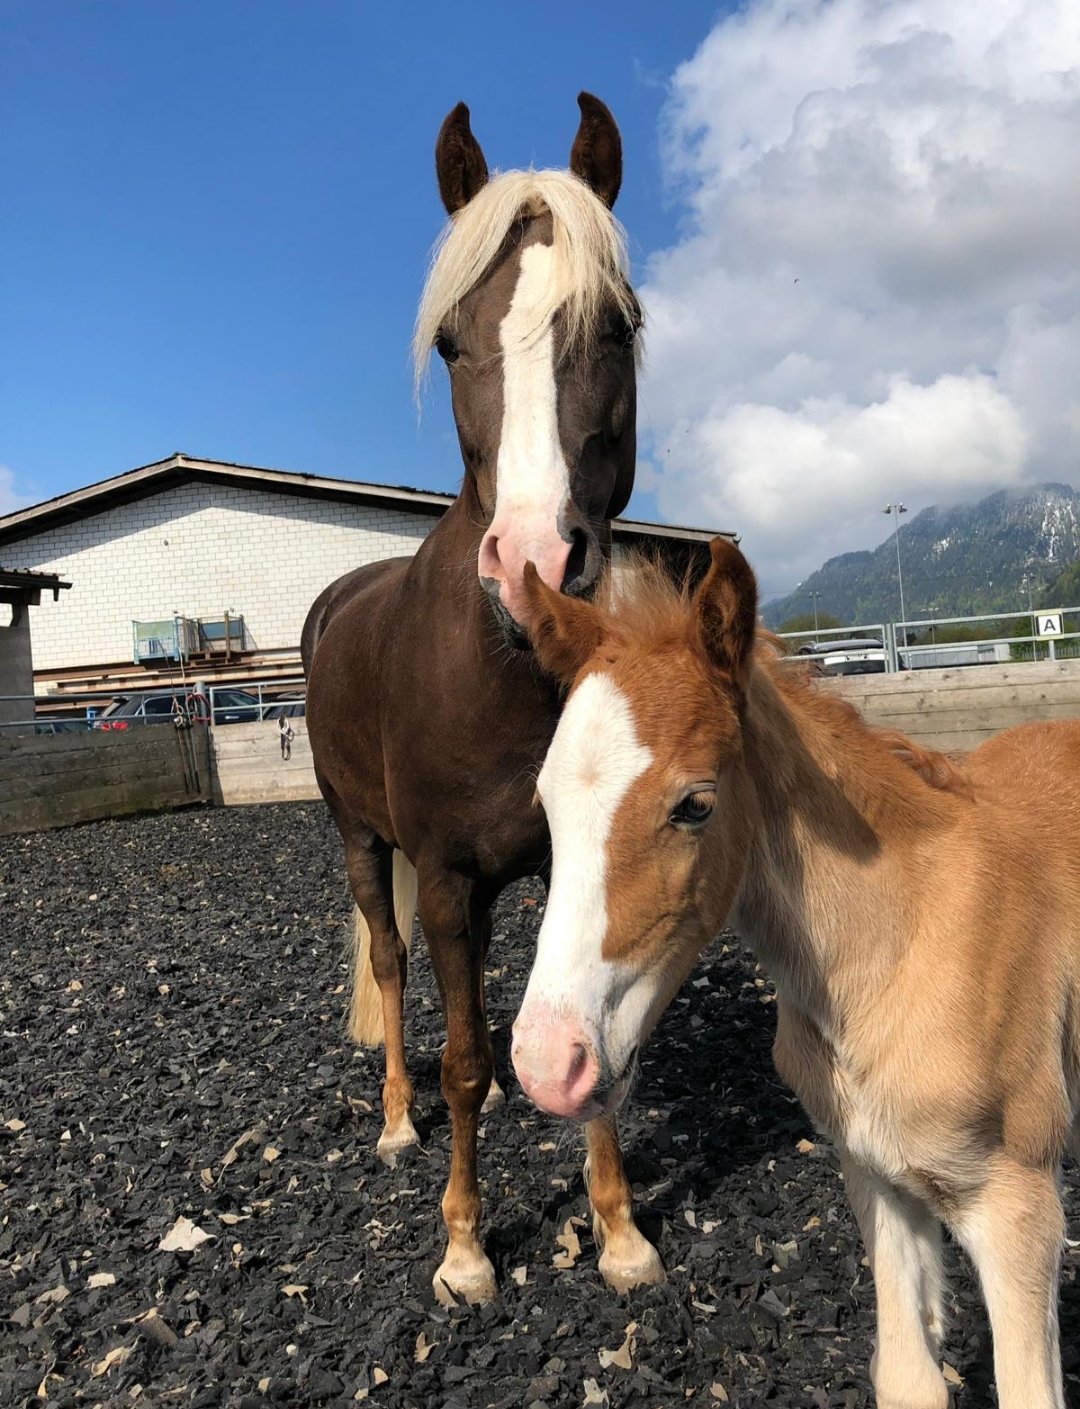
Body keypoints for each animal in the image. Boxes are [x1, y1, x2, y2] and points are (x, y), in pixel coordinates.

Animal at [302, 94, 649, 1306]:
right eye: (453, 343)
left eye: (619, 328)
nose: (537, 561)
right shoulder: (443, 872)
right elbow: (453, 1054)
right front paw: (463, 1248)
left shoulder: (567, 862)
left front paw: (620, 1231)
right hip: (364, 841)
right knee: (395, 966)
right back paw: (399, 1123)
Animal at [511, 538, 1080, 1409]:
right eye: (544, 804)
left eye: (695, 804)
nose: (548, 1064)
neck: (901, 944)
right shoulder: (873, 1168)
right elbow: (910, 1379)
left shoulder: (1016, 1200)